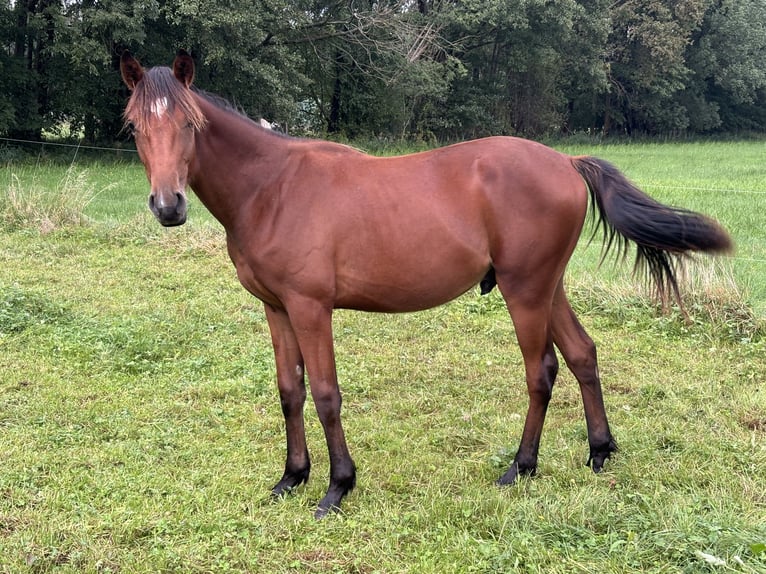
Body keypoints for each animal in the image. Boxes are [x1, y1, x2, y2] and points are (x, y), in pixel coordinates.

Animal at [118, 50, 732, 516]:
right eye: (136, 127)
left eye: (190, 125)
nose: (168, 206)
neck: (272, 187)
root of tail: (565, 161)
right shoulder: (277, 308)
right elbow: (290, 391)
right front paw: (291, 477)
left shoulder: (312, 308)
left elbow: (326, 395)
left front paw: (337, 487)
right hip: (546, 287)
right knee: (582, 354)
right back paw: (600, 452)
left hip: (525, 291)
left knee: (541, 371)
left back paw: (521, 466)